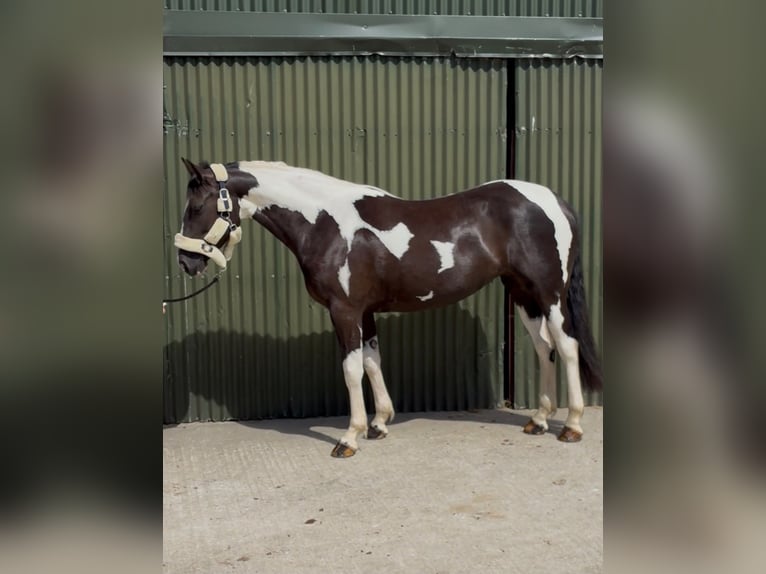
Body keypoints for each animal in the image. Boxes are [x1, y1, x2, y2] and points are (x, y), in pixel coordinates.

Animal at [173, 158, 602, 457]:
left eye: (195, 207)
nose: (186, 262)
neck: (323, 222)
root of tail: (554, 201)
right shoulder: (365, 311)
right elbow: (372, 362)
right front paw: (379, 423)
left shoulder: (344, 310)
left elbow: (350, 370)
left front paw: (350, 436)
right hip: (523, 294)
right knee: (544, 348)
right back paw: (539, 420)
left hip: (549, 294)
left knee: (567, 347)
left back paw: (572, 425)